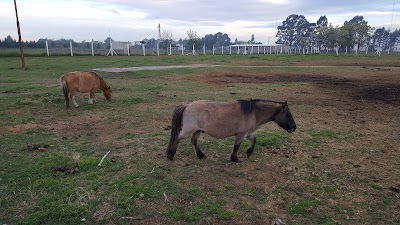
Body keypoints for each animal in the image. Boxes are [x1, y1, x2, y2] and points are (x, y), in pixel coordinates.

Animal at [166, 99, 296, 163]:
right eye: (288, 114)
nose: (294, 127)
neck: (253, 113)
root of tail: (187, 105)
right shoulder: (241, 135)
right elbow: (236, 146)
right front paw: (235, 158)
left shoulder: (247, 134)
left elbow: (254, 140)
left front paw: (249, 152)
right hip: (189, 130)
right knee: (178, 139)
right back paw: (171, 155)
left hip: (197, 130)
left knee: (193, 141)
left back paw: (200, 155)